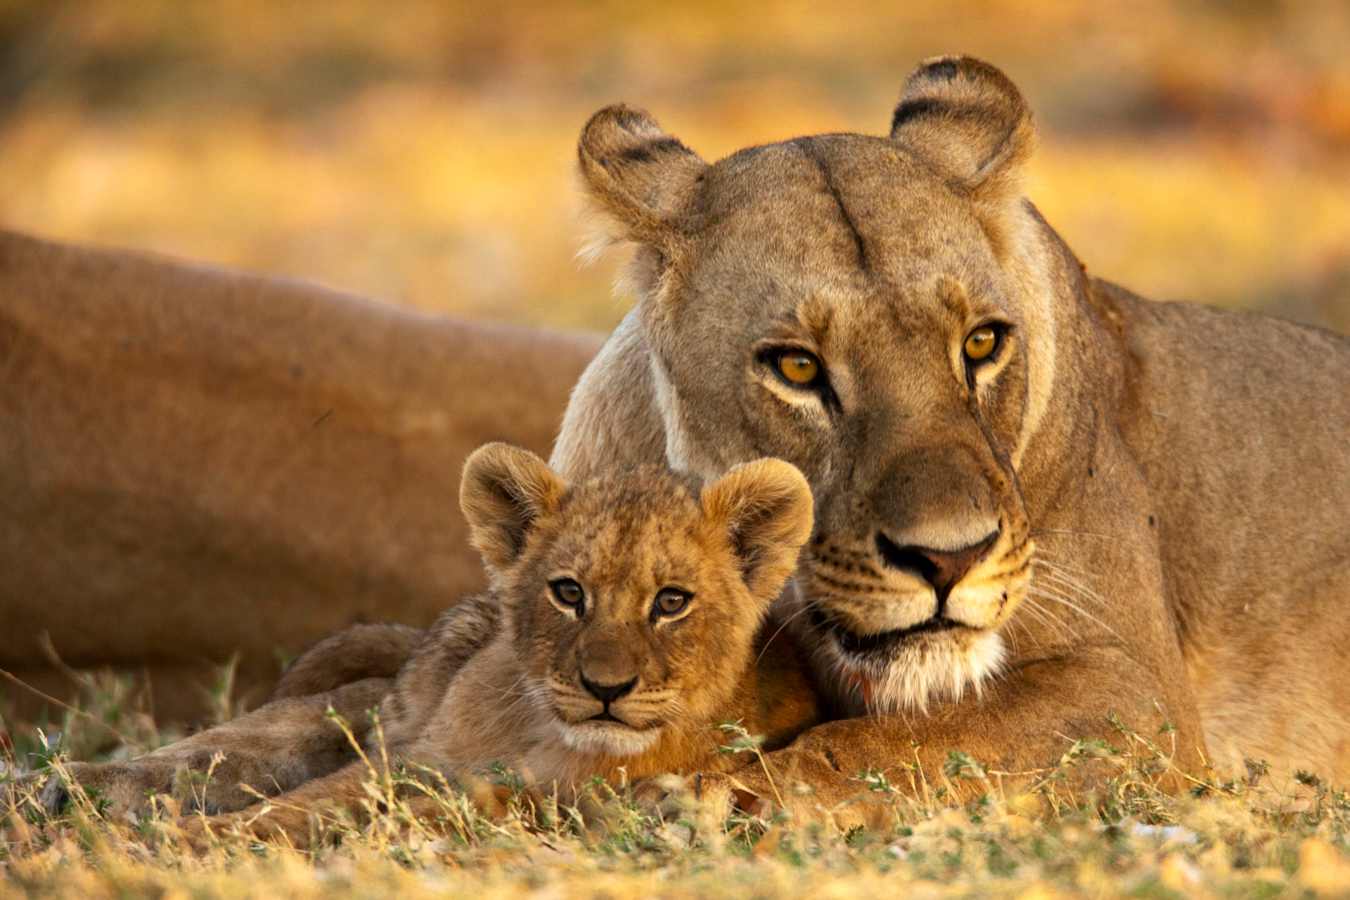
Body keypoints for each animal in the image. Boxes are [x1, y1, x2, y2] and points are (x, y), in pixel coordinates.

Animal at [34, 444, 821, 839]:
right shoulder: (413, 760)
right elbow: (307, 801)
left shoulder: (527, 801)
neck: (550, 739)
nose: (605, 689)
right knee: (222, 749)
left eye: (671, 602)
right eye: (569, 593)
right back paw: (66, 791)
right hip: (353, 709)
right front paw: (194, 841)